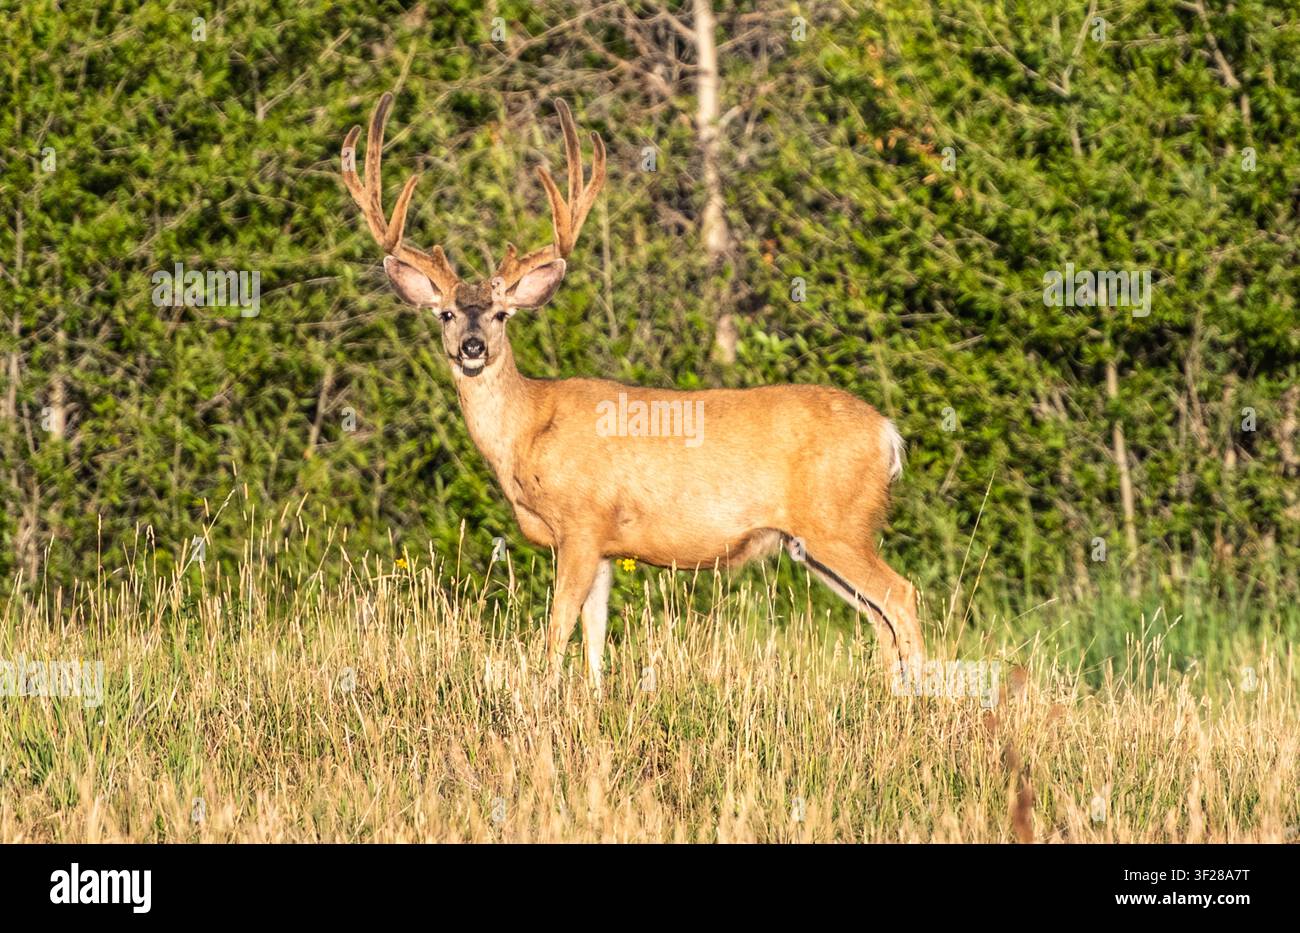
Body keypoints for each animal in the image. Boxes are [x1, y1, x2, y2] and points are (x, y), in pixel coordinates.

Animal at [341, 92, 924, 689]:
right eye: (447, 314)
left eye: (502, 313)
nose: (473, 346)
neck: (528, 431)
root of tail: (888, 434)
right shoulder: (603, 547)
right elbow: (595, 637)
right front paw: (594, 699)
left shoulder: (581, 523)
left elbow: (557, 631)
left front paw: (543, 698)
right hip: (813, 540)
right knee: (879, 616)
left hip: (839, 521)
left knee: (901, 594)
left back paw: (920, 697)